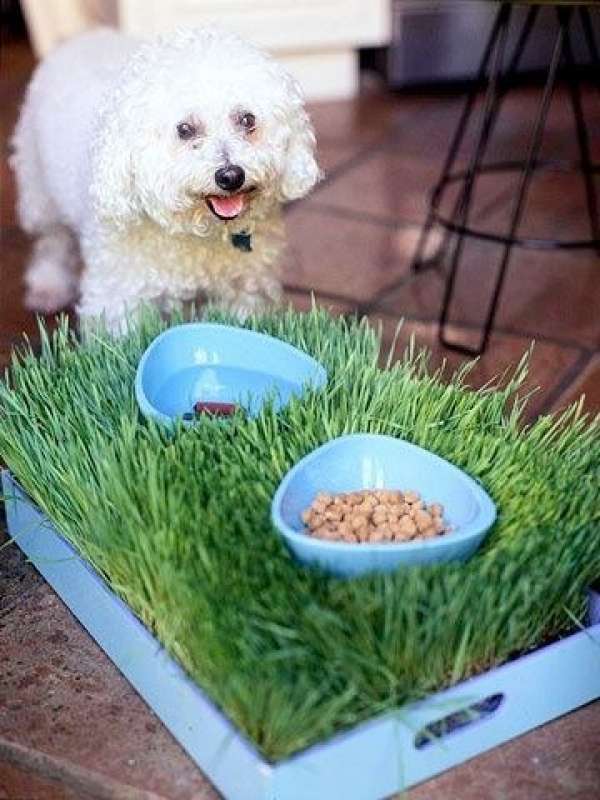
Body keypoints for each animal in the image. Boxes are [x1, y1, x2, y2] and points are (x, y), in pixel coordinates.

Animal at [10, 25, 318, 332]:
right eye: (185, 129)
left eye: (247, 119)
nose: (231, 175)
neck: (197, 232)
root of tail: (88, 34)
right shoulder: (120, 294)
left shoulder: (244, 288)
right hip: (39, 192)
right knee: (52, 240)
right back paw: (48, 285)